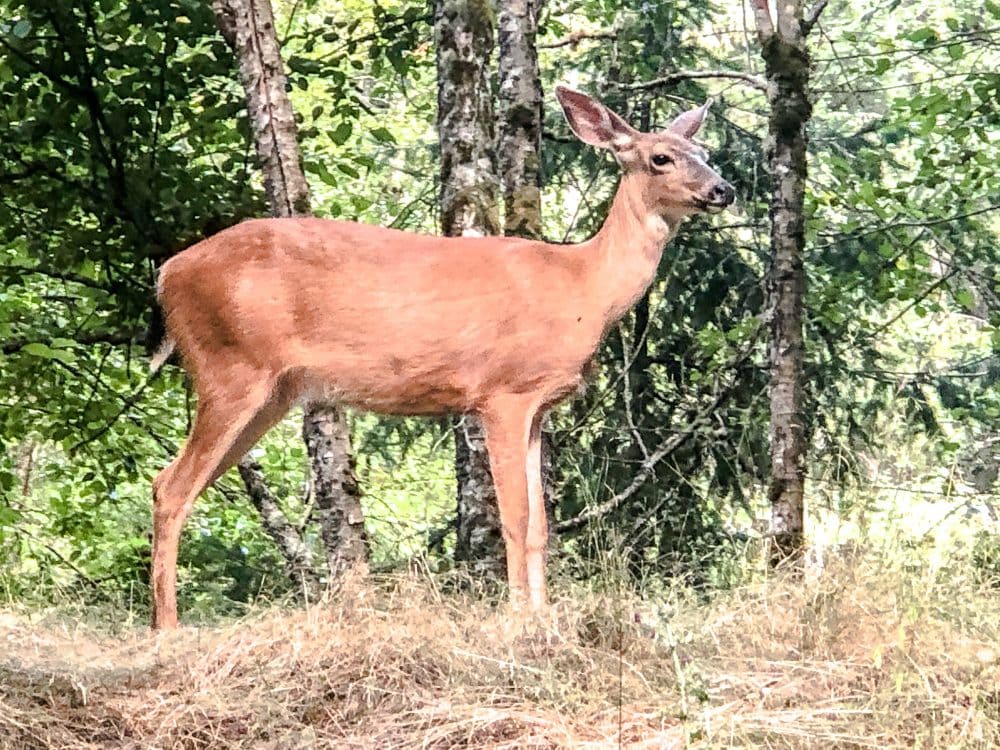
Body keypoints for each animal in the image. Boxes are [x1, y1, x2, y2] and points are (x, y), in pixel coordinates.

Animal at [152, 86, 740, 628]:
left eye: (705, 149)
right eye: (660, 157)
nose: (723, 188)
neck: (583, 289)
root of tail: (166, 275)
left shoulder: (537, 406)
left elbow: (541, 524)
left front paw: (543, 614)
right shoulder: (503, 392)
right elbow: (515, 516)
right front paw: (518, 617)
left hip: (271, 391)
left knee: (168, 482)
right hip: (229, 366)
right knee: (173, 488)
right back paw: (168, 628)